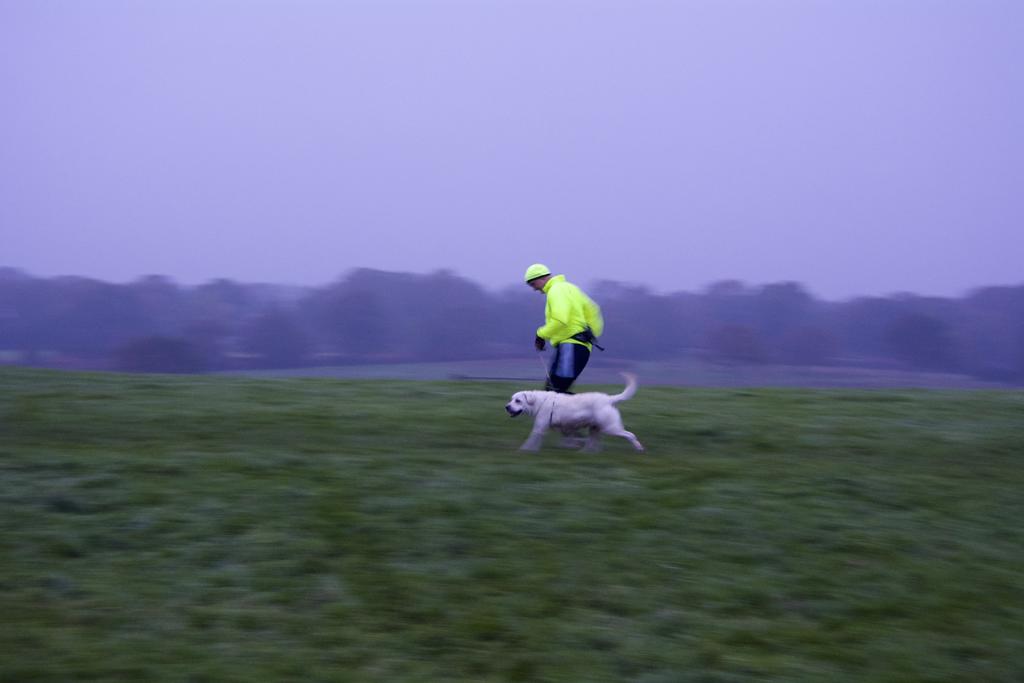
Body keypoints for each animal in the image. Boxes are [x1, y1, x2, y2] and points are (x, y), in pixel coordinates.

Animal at [505, 372, 645, 452]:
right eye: (511, 399)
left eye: (518, 401)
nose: (507, 407)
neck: (540, 401)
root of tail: (609, 399)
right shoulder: (558, 428)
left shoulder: (539, 427)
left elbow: (531, 440)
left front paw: (524, 450)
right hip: (595, 428)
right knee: (593, 442)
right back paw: (586, 452)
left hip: (611, 427)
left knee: (630, 435)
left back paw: (639, 448)